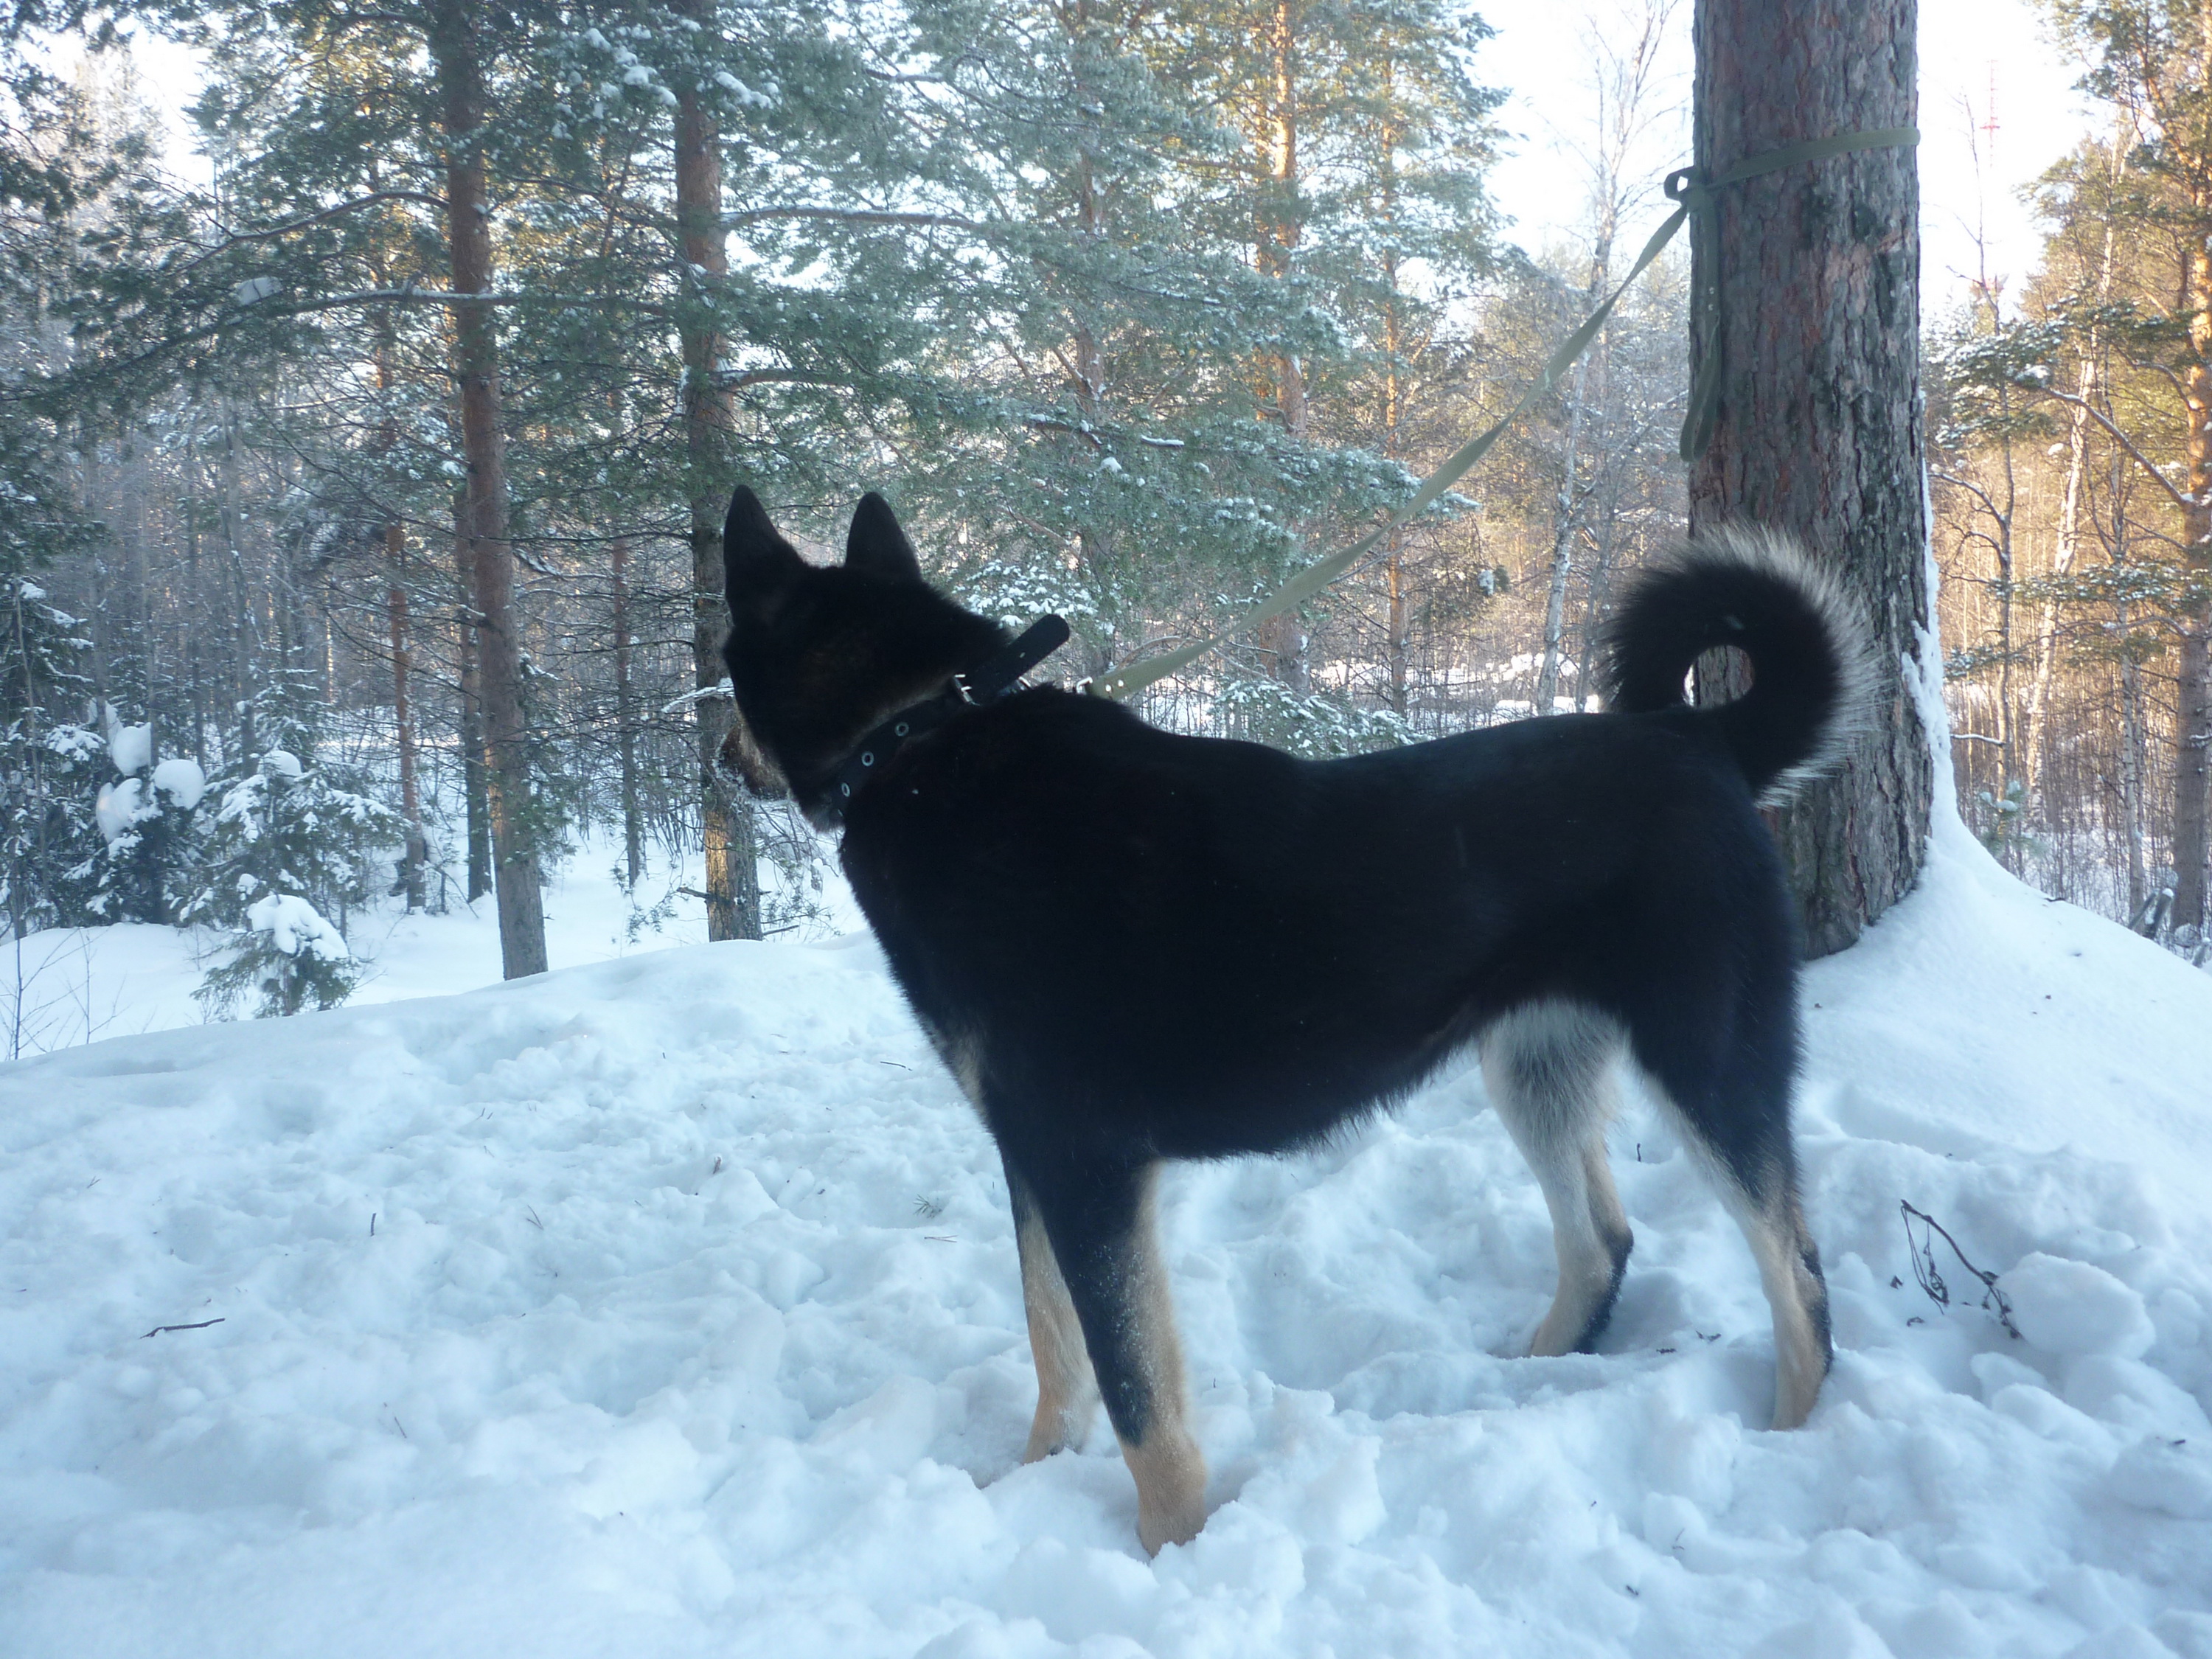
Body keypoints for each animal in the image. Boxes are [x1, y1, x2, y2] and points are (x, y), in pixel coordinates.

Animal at [718, 485, 1867, 1554]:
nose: (724, 758)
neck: (916, 733)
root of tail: (1702, 734)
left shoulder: (1085, 1164)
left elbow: (1137, 1394)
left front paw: (1172, 1549)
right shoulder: (1032, 1155)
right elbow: (1056, 1344)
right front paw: (1031, 1479)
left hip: (1707, 1063)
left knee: (1800, 1278)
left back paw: (1791, 1441)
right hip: (1533, 1069)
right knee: (1605, 1242)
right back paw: (1529, 1383)